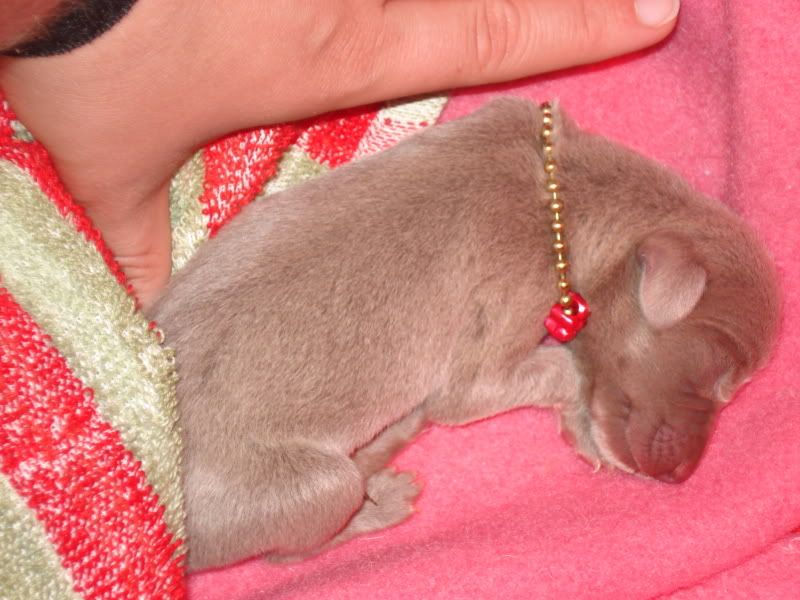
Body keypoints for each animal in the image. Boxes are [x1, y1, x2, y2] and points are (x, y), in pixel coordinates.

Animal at [150, 96, 776, 568]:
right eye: (718, 372)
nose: (682, 476)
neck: (566, 194)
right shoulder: (491, 339)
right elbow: (551, 372)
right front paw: (585, 421)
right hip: (313, 486)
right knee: (291, 551)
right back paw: (381, 501)